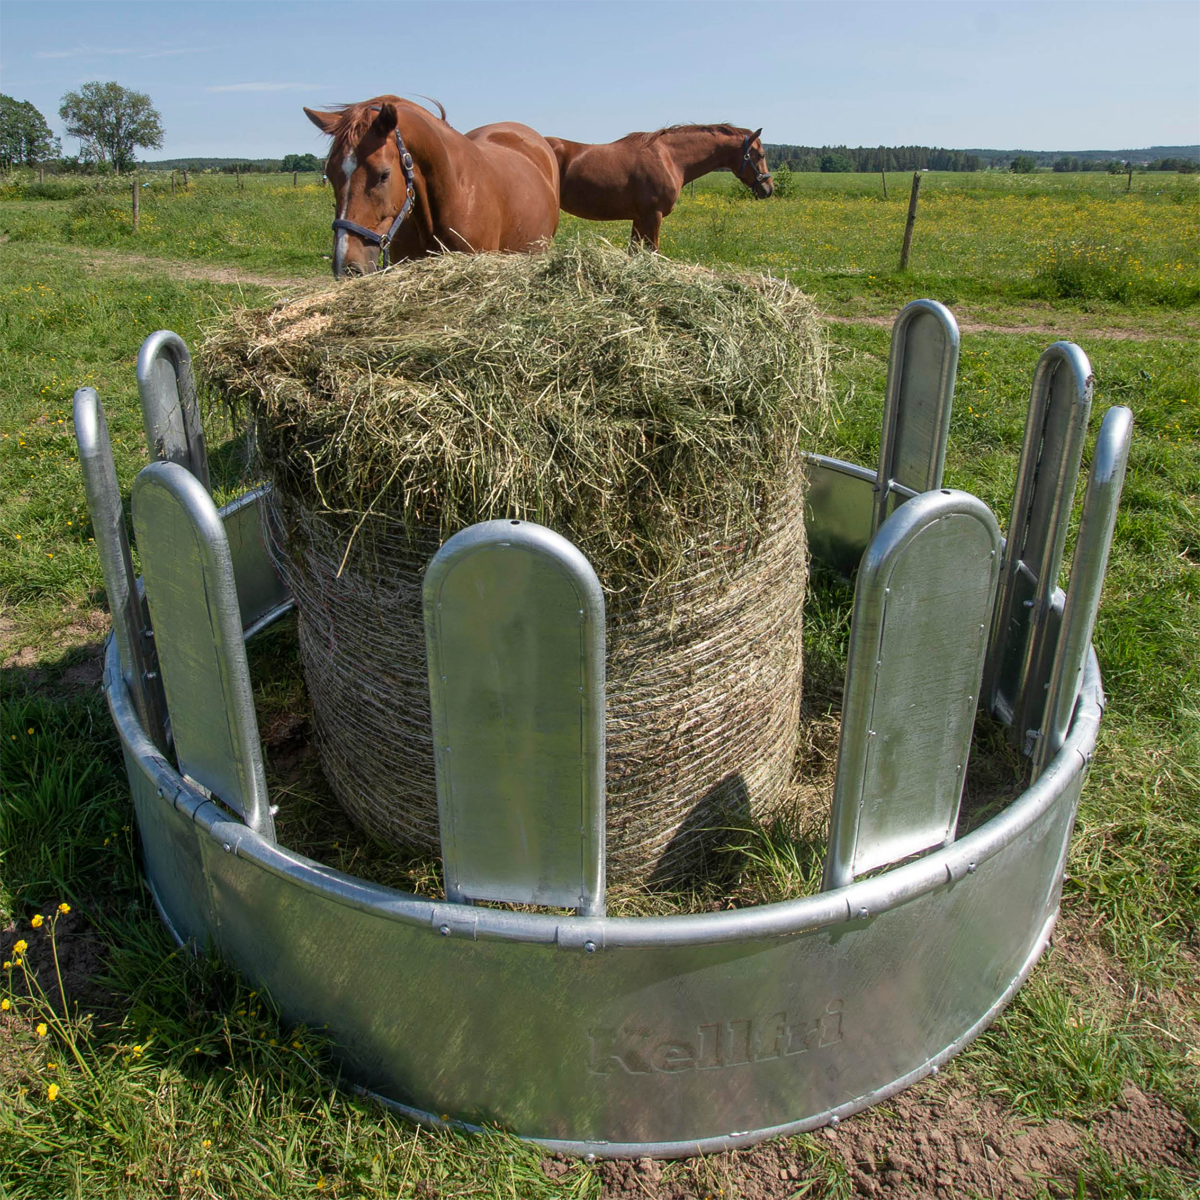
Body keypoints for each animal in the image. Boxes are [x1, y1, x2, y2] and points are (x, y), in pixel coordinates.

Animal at [542, 124, 768, 250]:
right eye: (761, 154)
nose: (768, 188)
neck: (669, 158)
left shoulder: (639, 218)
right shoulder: (653, 215)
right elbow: (653, 252)